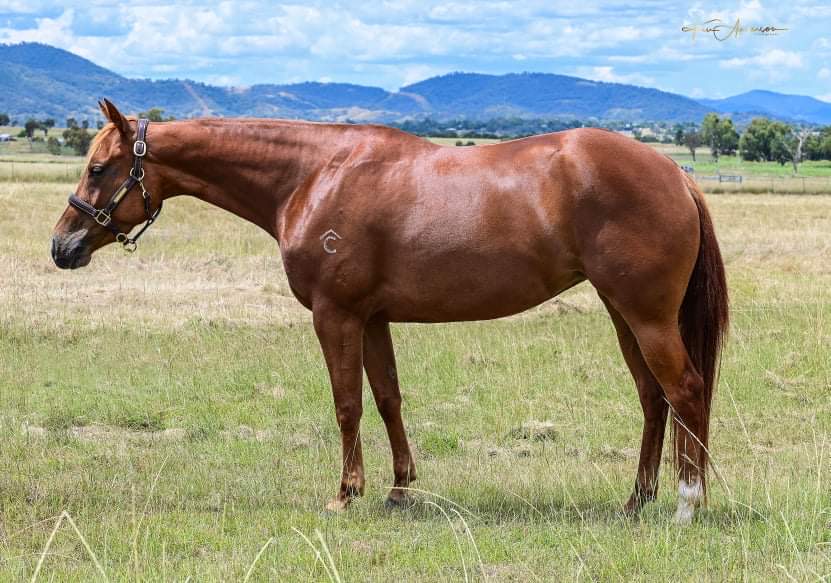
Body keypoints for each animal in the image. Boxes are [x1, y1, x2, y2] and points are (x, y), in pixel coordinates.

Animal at [51, 100, 728, 523]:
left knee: (686, 391)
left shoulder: (336, 315)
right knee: (653, 399)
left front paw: (346, 495)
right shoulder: (373, 319)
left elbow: (347, 404)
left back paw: (686, 505)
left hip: (645, 316)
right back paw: (636, 502)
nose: (62, 246)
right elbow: (387, 399)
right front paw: (400, 490)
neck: (312, 176)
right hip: (622, 313)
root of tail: (674, 172)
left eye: (98, 167)